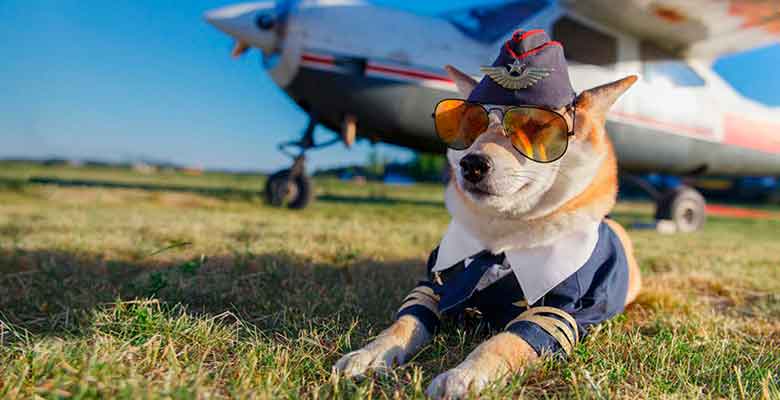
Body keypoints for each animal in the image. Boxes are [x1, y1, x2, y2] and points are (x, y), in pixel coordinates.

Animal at [330, 29, 640, 398]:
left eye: (534, 126)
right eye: (470, 123)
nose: (472, 163)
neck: (498, 240)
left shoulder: (559, 311)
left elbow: (505, 341)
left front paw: (465, 375)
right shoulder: (433, 285)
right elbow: (404, 322)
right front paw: (370, 353)